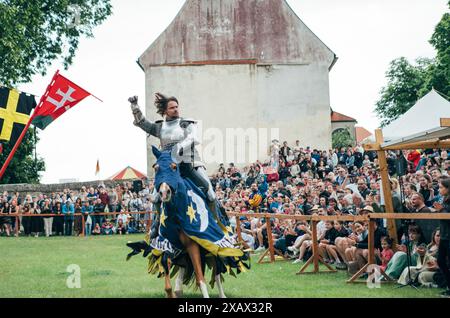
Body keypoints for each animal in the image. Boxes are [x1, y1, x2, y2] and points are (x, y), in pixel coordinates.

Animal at [126, 147, 250, 298]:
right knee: (183, 267)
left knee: (216, 271)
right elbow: (167, 277)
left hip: (212, 246)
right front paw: (172, 293)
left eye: (174, 167)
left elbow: (200, 278)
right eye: (156, 167)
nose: (164, 192)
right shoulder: (168, 245)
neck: (177, 215)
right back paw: (178, 289)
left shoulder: (193, 245)